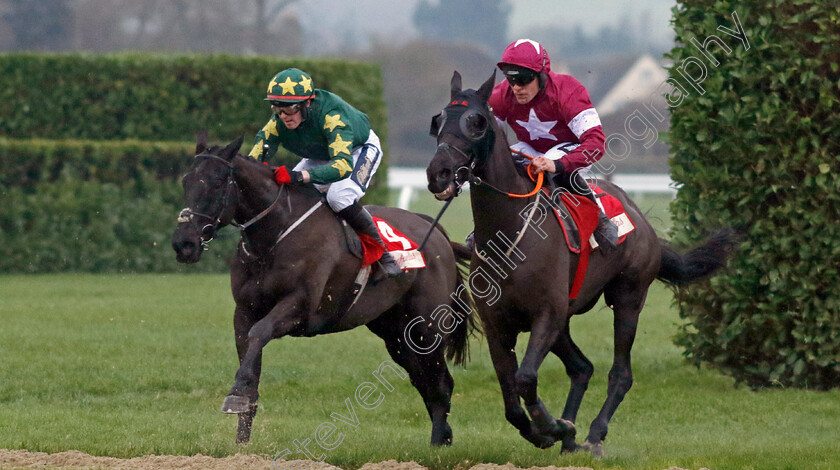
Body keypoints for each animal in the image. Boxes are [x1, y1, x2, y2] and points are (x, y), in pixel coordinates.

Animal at [172, 134, 472, 446]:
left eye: (217, 182)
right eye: (186, 181)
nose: (184, 243)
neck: (274, 236)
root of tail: (435, 232)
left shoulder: (300, 307)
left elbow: (260, 333)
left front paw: (235, 398)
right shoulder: (244, 311)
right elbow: (251, 360)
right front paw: (241, 441)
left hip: (426, 329)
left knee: (440, 383)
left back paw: (437, 443)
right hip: (396, 333)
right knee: (424, 380)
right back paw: (443, 437)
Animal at [426, 72, 736, 456]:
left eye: (476, 122)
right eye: (439, 121)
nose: (438, 173)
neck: (510, 232)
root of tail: (641, 221)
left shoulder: (547, 313)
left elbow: (525, 378)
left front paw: (551, 425)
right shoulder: (499, 323)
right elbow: (512, 401)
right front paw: (550, 430)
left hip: (628, 298)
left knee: (620, 374)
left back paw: (592, 433)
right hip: (566, 321)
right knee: (582, 368)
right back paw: (571, 437)